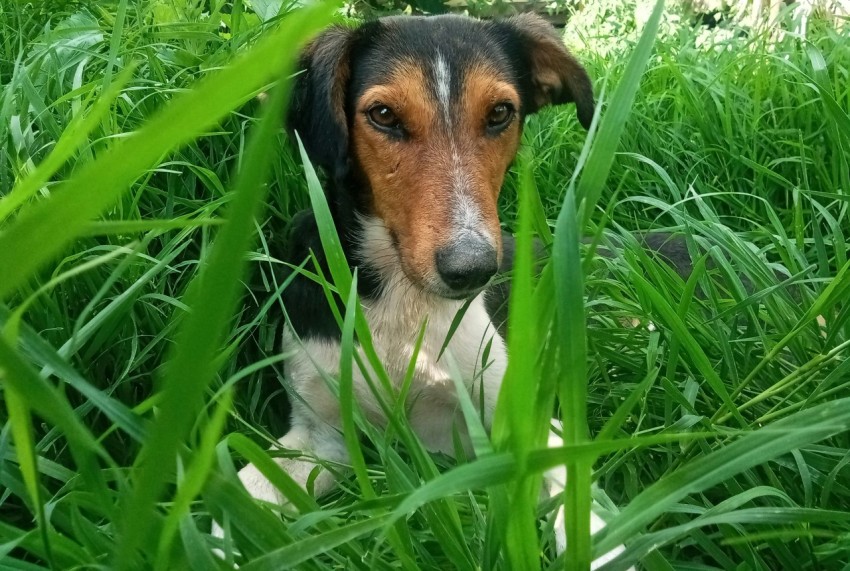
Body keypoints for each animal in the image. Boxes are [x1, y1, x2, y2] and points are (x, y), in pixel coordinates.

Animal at [229, 12, 628, 568]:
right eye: (383, 115)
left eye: (501, 113)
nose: (471, 269)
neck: (403, 296)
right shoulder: (319, 437)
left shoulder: (518, 424)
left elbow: (587, 514)